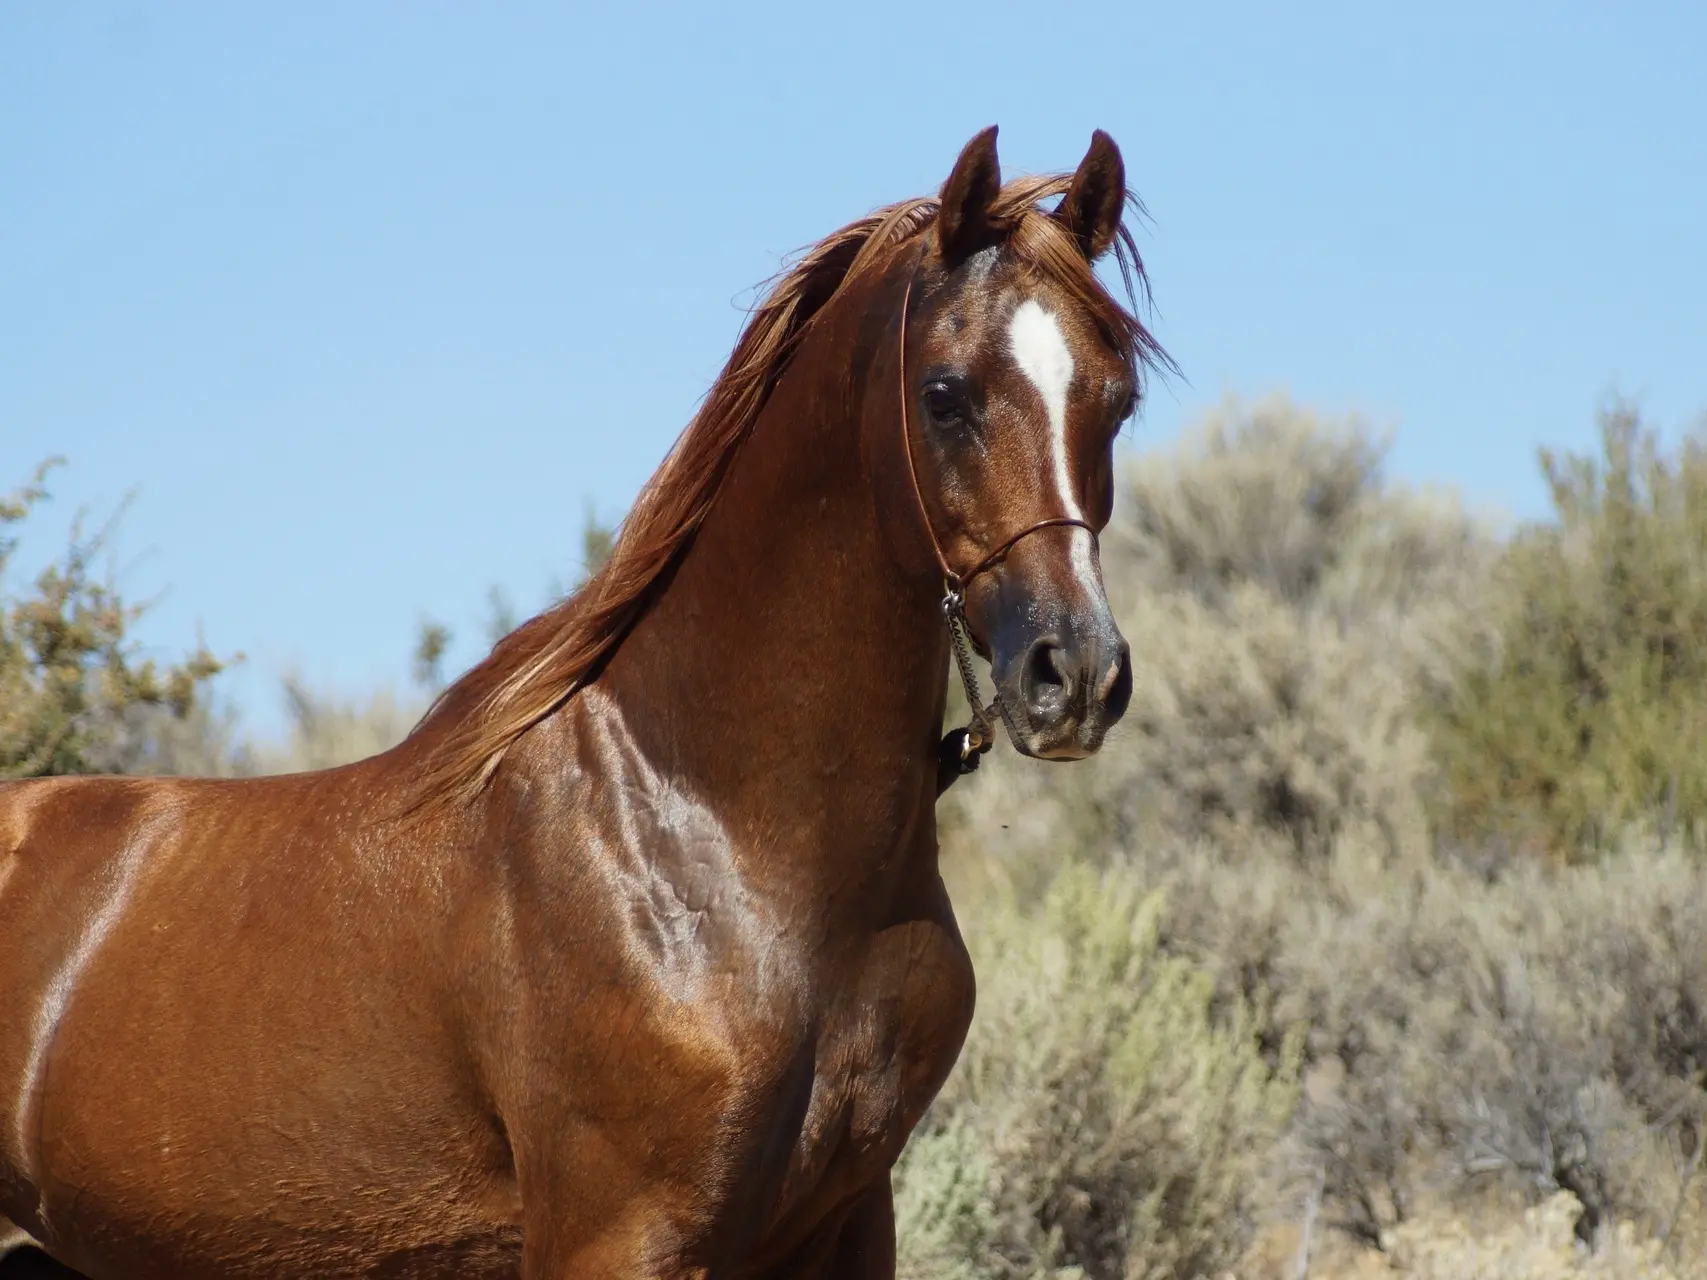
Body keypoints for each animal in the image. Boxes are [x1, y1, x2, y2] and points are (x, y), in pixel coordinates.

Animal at [0, 122, 1160, 1280]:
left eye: (1116, 399)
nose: (1074, 675)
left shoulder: (846, 1225)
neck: (712, 836)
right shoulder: (615, 1234)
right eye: (945, 394)